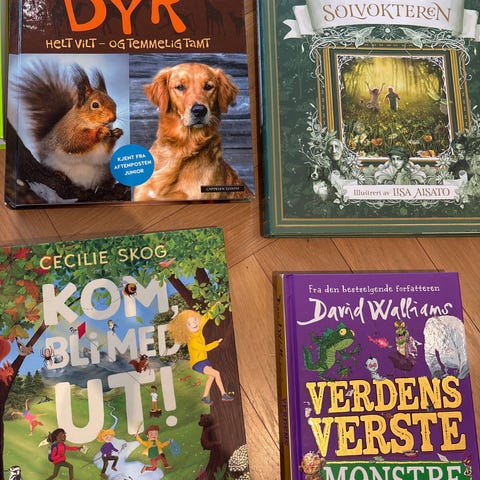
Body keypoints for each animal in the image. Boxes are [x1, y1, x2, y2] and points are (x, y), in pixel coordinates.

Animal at [15, 62, 123, 190]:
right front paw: (99, 132)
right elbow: (75, 142)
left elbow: (106, 149)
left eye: (114, 103)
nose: (113, 118)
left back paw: (102, 186)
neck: (90, 123)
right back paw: (59, 174)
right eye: (95, 105)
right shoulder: (67, 132)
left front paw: (116, 133)